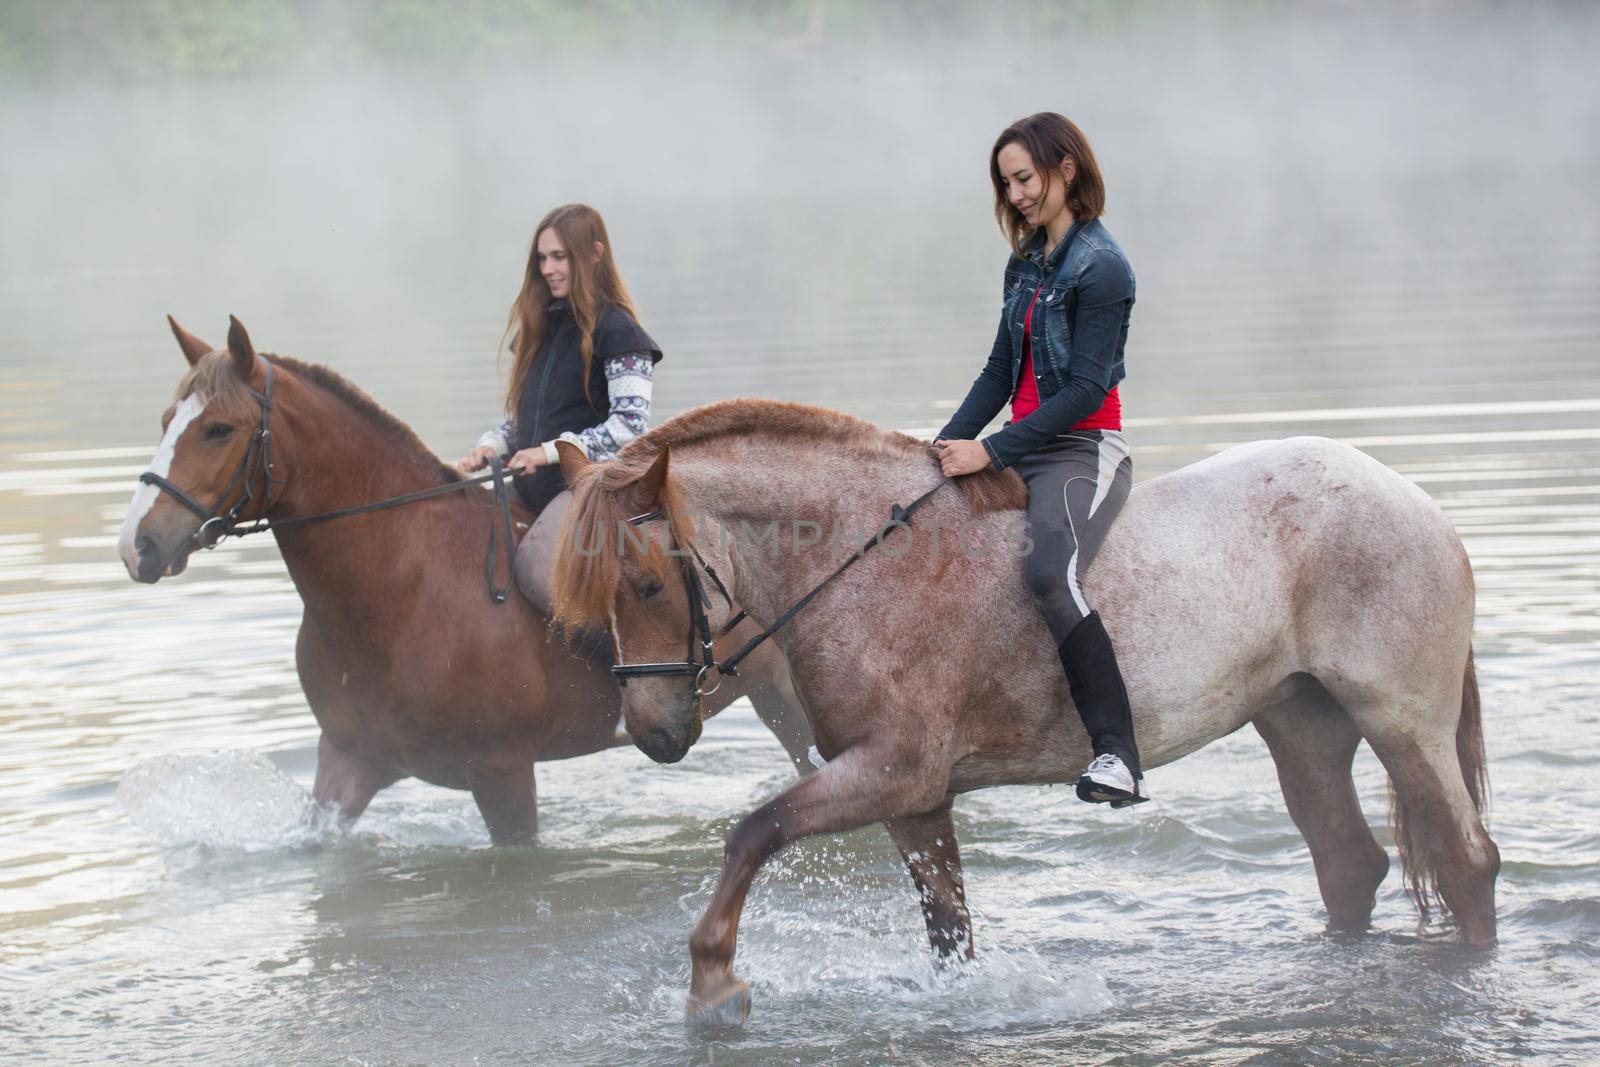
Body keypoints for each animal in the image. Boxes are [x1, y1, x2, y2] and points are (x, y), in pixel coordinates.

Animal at [116, 316, 812, 844]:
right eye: (165, 420)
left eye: (218, 428)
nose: (137, 545)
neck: (404, 588)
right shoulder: (348, 761)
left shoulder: (501, 775)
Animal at [550, 398, 1497, 1023]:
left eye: (645, 583)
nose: (655, 732)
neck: (864, 556)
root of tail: (1414, 499)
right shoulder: (913, 797)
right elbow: (949, 929)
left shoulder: (890, 771)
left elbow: (753, 832)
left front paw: (713, 984)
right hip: (1303, 726)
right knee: (1349, 864)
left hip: (1401, 721)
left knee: (1466, 861)